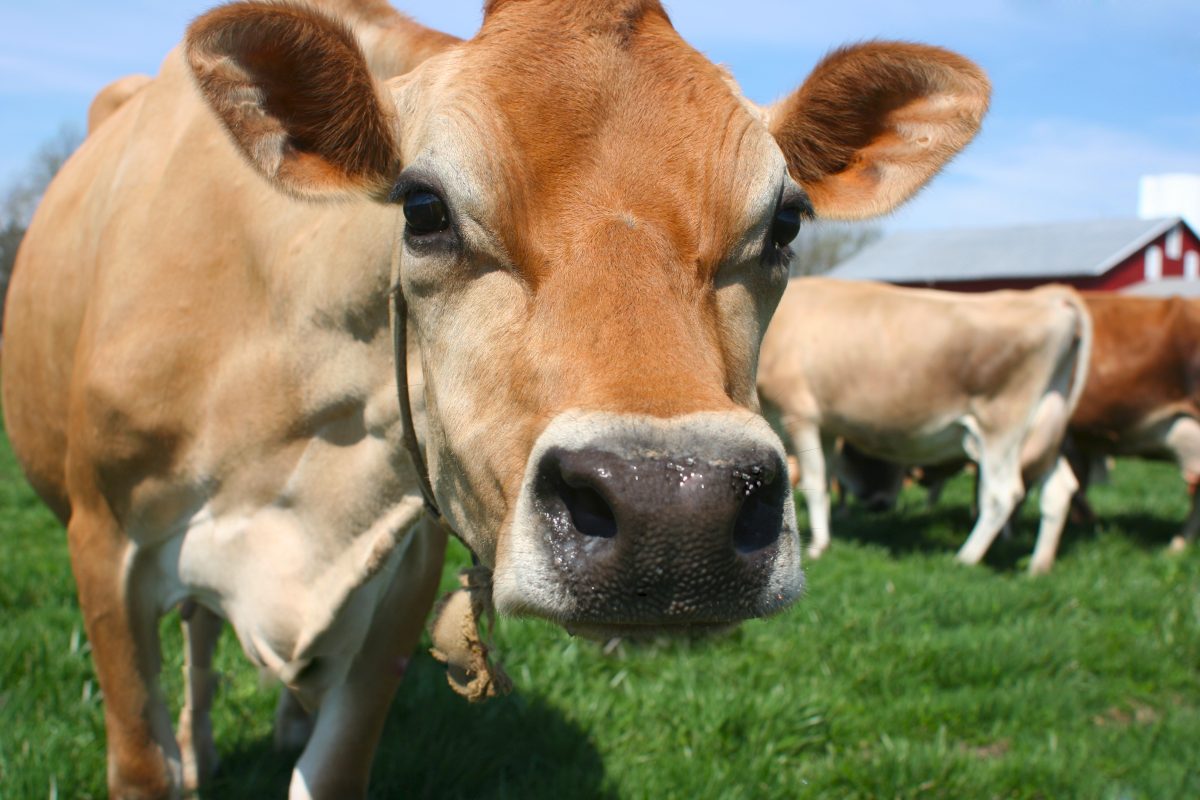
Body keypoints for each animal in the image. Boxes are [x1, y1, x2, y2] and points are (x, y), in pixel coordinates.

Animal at [2, 1, 984, 796]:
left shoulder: (402, 570)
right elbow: (143, 760)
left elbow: (333, 763)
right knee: (200, 636)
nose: (677, 510)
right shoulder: (105, 546)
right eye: (423, 207)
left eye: (784, 222)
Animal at [763, 278, 1094, 573]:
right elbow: (827, 479)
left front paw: (818, 547)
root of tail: (1048, 298)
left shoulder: (799, 414)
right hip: (1045, 427)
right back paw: (1039, 565)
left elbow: (814, 483)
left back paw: (965, 558)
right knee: (1059, 489)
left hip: (1002, 426)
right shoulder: (828, 425)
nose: (878, 503)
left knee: (1003, 494)